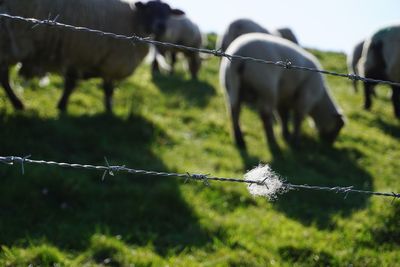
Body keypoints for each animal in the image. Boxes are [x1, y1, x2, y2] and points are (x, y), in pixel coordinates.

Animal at [0, 0, 184, 112]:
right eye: (150, 9)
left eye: (168, 13)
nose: (161, 26)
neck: (134, 20)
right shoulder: (102, 59)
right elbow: (104, 89)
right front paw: (108, 111)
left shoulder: (82, 56)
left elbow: (73, 84)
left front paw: (62, 106)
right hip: (9, 41)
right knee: (4, 79)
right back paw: (17, 104)